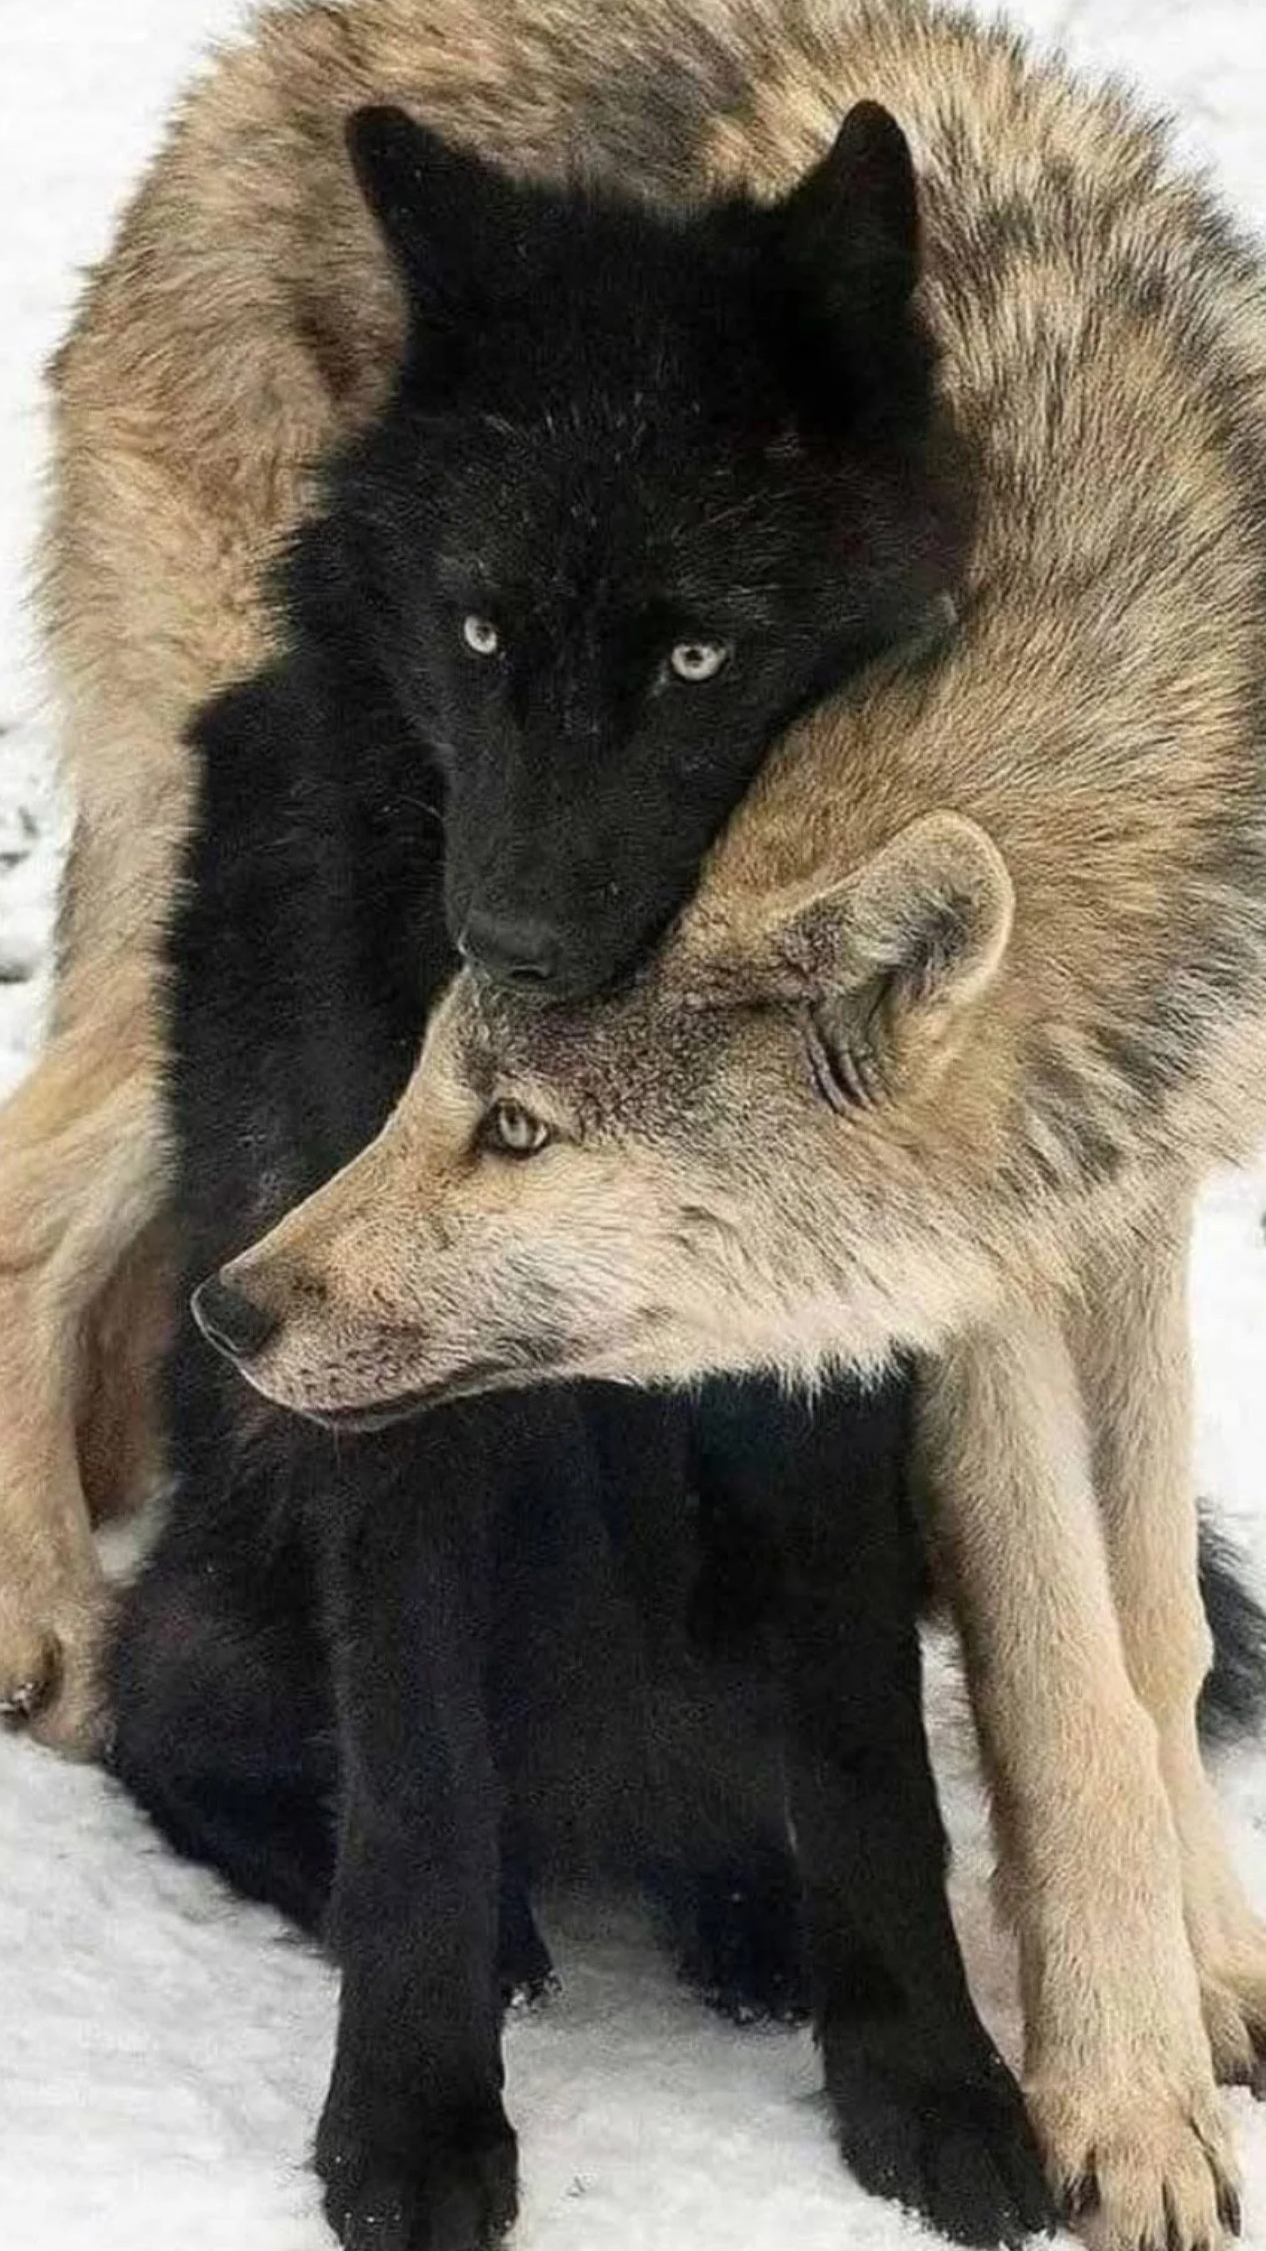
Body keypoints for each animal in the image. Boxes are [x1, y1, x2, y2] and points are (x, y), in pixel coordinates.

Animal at [186, 19, 1266, 2251]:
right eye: (436, 1093)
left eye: (517, 1128)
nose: (231, 1310)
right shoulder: (976, 1294)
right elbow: (1057, 1683)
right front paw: (1115, 2104)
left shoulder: (1114, 1199)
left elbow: (1126, 1641)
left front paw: (1122, 2021)